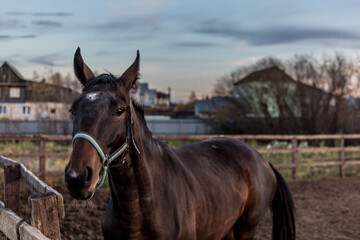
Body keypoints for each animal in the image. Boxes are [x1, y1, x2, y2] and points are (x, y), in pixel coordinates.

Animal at [64, 47, 296, 239]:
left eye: (120, 110)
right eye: (73, 109)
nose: (78, 177)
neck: (142, 209)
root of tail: (262, 160)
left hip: (245, 229)